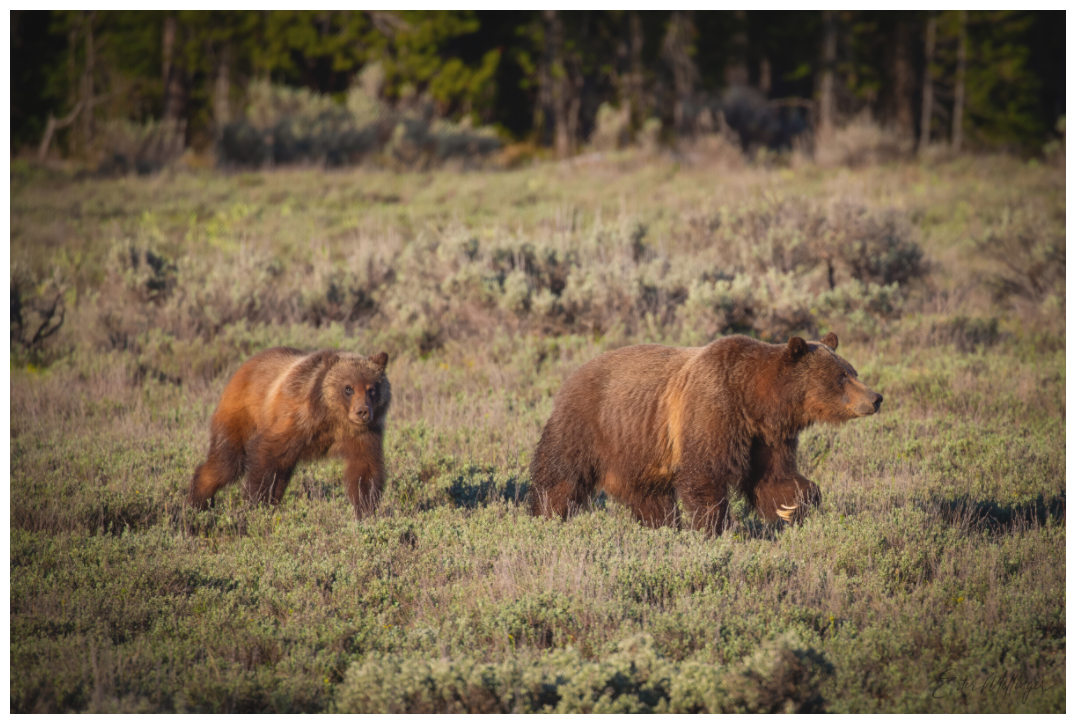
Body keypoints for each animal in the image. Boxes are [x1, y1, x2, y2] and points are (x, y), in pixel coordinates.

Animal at [189, 347, 392, 518]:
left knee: (279, 474)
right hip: (241, 415)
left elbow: (365, 469)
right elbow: (265, 453)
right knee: (227, 461)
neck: (333, 418)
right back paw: (199, 502)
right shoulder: (297, 420)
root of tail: (244, 365)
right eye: (348, 388)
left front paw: (366, 510)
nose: (362, 411)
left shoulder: (363, 434)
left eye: (372, 389)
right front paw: (256, 503)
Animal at [528, 333, 881, 535]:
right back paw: (544, 516)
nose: (876, 398)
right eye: (841, 377)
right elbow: (704, 476)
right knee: (560, 475)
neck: (754, 401)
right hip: (589, 424)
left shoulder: (766, 439)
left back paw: (663, 528)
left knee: (649, 496)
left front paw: (793, 505)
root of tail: (572, 374)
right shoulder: (713, 412)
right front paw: (717, 529)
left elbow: (774, 477)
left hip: (638, 447)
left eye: (852, 371)